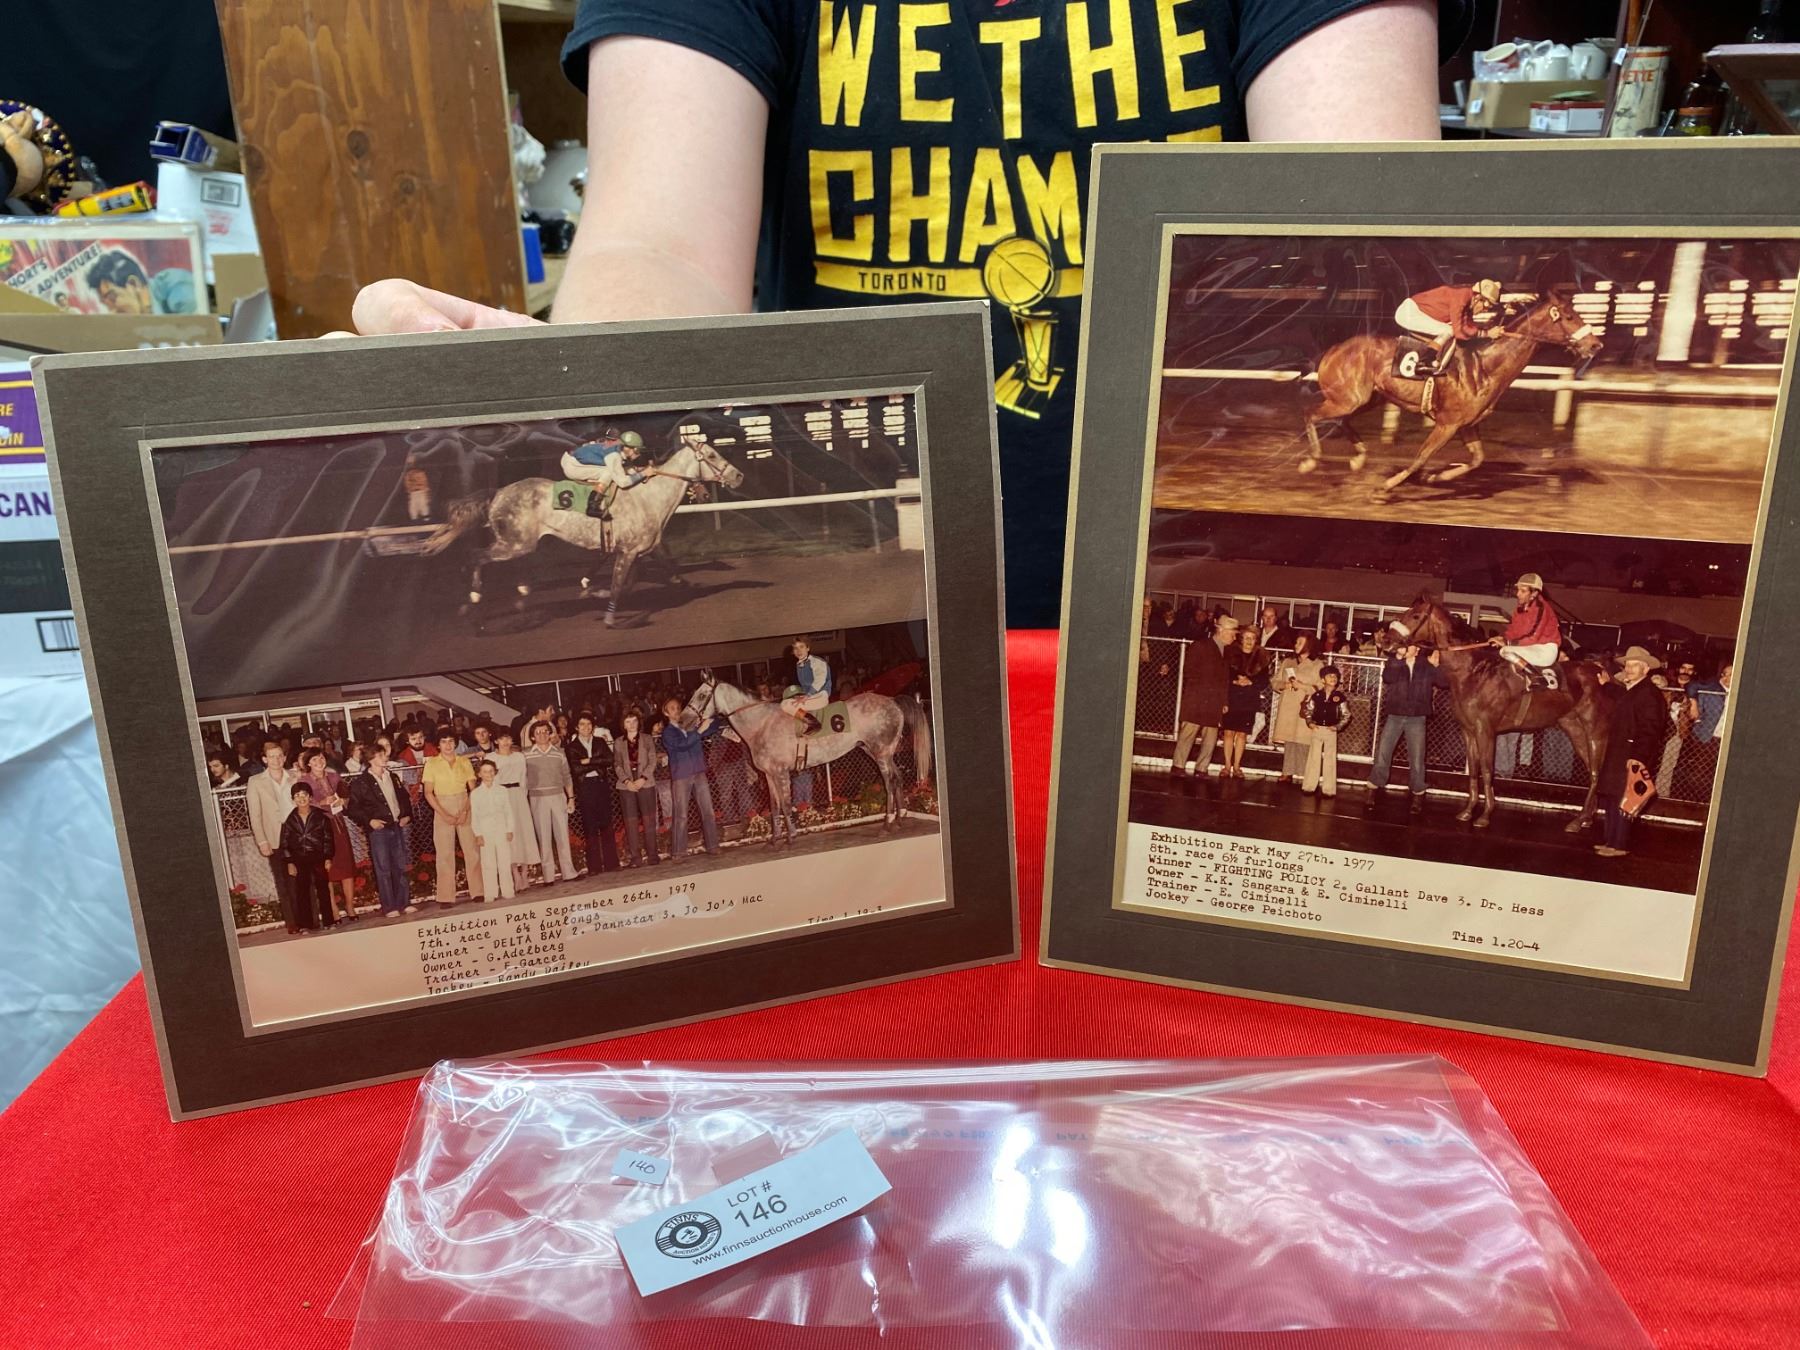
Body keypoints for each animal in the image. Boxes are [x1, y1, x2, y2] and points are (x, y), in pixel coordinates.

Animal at [420, 433, 745, 626]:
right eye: (712, 456)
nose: (739, 476)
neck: (649, 496)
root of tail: (498, 492)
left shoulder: (640, 550)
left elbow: (645, 576)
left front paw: (596, 591)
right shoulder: (627, 551)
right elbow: (619, 584)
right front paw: (609, 616)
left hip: (518, 544)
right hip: (515, 544)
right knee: (475, 555)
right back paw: (474, 595)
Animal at [684, 676, 932, 848]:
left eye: (701, 695)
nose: (683, 720)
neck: (761, 723)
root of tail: (892, 701)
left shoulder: (781, 772)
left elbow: (785, 804)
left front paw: (790, 837)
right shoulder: (769, 775)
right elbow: (774, 805)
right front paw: (774, 839)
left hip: (880, 754)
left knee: (889, 783)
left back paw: (887, 824)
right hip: (877, 752)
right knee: (898, 779)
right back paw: (899, 819)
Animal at [1301, 287, 1604, 498]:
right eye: (1569, 316)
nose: (1596, 345)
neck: (1485, 366)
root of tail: (1334, 348)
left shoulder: (1468, 424)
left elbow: (1477, 459)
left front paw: (1436, 478)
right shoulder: (1448, 424)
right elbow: (1421, 457)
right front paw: (1386, 486)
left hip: (1366, 399)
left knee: (1339, 419)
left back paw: (1359, 457)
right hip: (1348, 398)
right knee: (1311, 414)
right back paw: (1311, 461)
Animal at [1378, 594, 1611, 832]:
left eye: (1415, 615)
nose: (1385, 640)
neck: (1472, 672)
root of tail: (1598, 672)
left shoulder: (1486, 731)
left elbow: (1487, 770)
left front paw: (1485, 815)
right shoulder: (1468, 731)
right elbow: (1474, 770)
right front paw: (1468, 811)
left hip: (1596, 732)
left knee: (1595, 774)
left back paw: (1577, 820)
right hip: (1574, 730)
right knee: (1592, 771)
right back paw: (1587, 817)